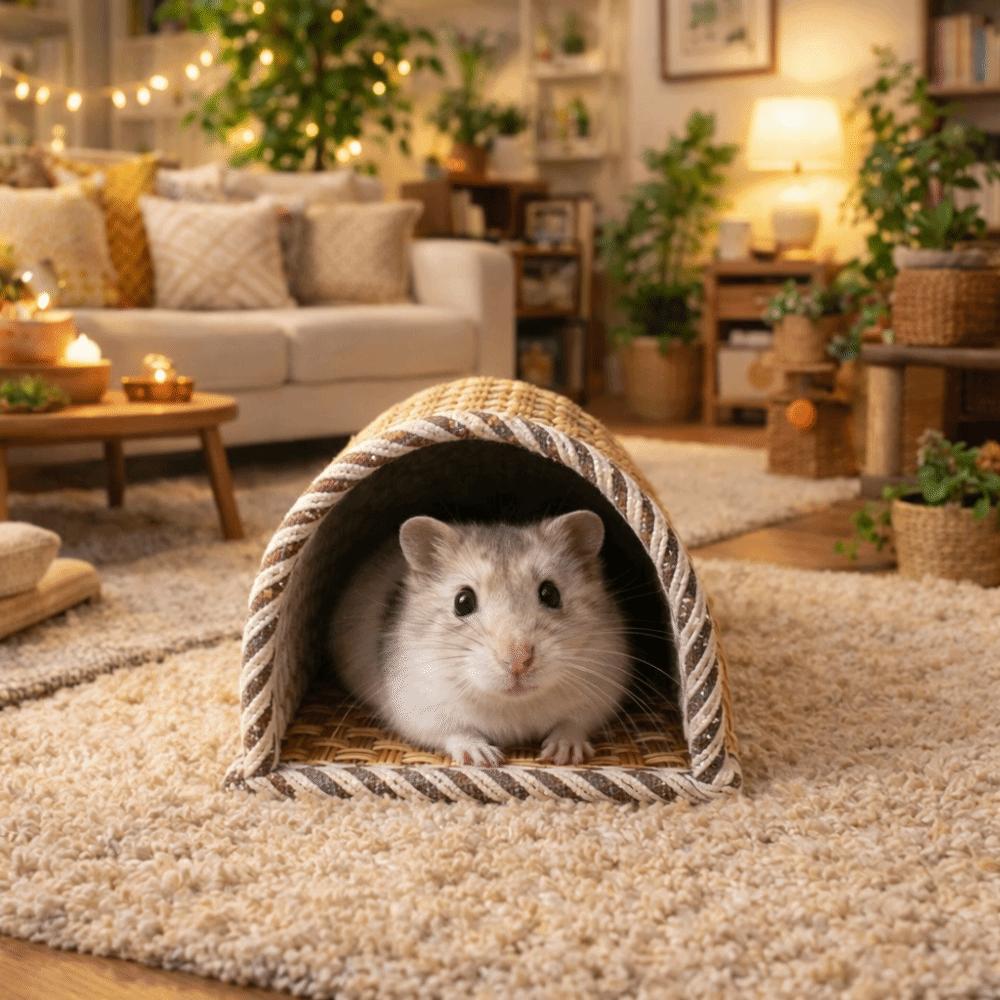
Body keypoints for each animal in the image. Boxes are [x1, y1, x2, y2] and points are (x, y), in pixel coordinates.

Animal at [329, 510, 632, 766]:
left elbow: (573, 723)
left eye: (550, 594)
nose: (518, 661)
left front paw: (563, 755)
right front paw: (483, 758)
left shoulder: (600, 693)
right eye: (462, 602)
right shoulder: (420, 709)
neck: (513, 702)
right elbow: (456, 731)